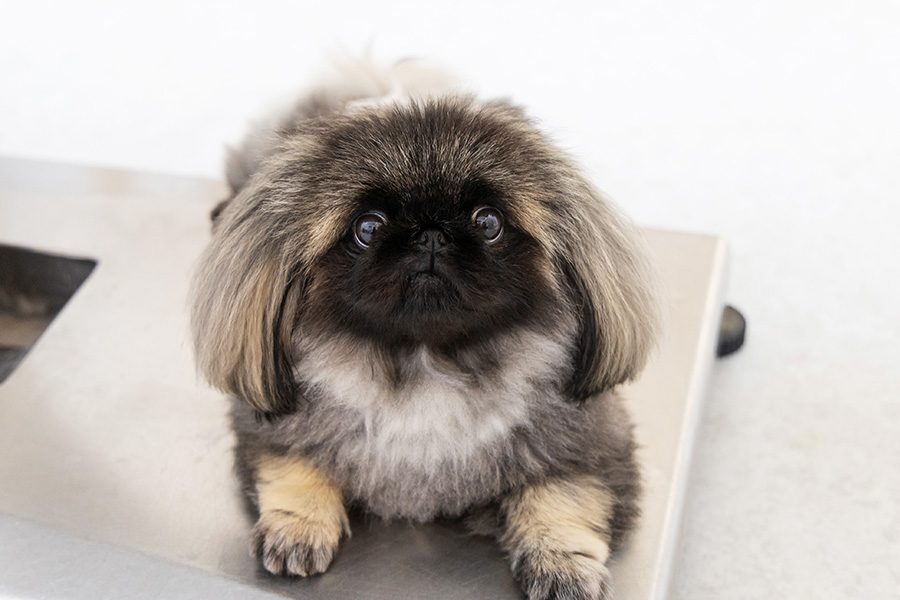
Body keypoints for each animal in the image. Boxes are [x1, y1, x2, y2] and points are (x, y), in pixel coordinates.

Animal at [190, 62, 660, 600]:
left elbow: (564, 493)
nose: (431, 234)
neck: (425, 362)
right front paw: (298, 525)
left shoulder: (593, 438)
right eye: (368, 228)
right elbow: (296, 464)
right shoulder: (270, 423)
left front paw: (561, 562)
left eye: (489, 222)